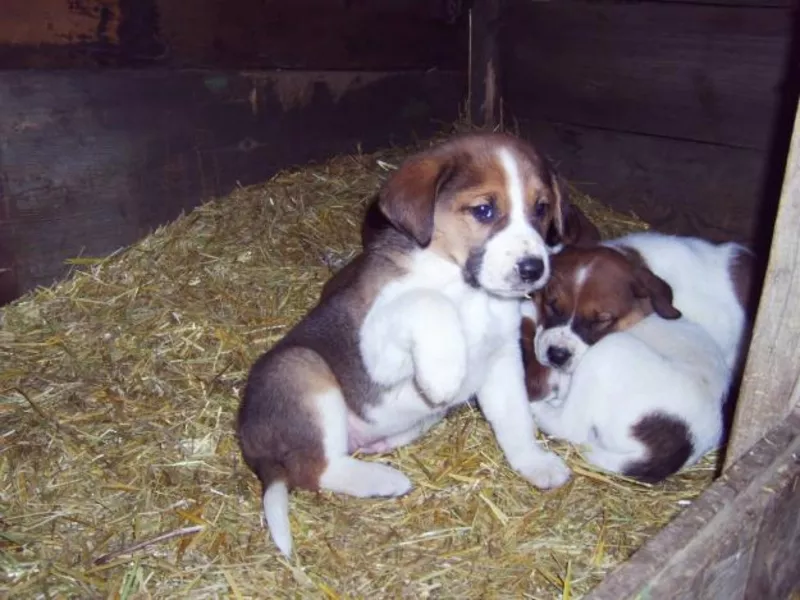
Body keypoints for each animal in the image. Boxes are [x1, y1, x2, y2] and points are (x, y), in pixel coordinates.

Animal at [238, 134, 576, 556]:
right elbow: (428, 302)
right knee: (315, 469)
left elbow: (515, 420)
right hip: (300, 367)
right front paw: (444, 375)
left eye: (541, 208)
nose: (534, 269)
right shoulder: (376, 349)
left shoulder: (502, 360)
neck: (468, 291)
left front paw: (534, 462)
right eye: (484, 210)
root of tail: (251, 445)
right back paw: (384, 480)